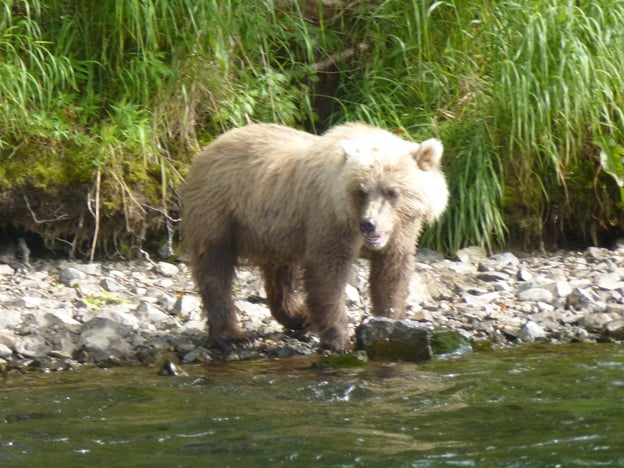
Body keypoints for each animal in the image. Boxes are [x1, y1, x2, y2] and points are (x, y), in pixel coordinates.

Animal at [182, 122, 448, 352]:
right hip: (221, 210)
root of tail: (207, 148)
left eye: (392, 192)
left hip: (276, 229)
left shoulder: (402, 230)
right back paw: (233, 337)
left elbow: (392, 272)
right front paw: (339, 340)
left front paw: (390, 321)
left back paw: (299, 317)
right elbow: (328, 274)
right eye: (361, 191)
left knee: (281, 273)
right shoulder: (329, 218)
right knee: (216, 269)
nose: (369, 224)